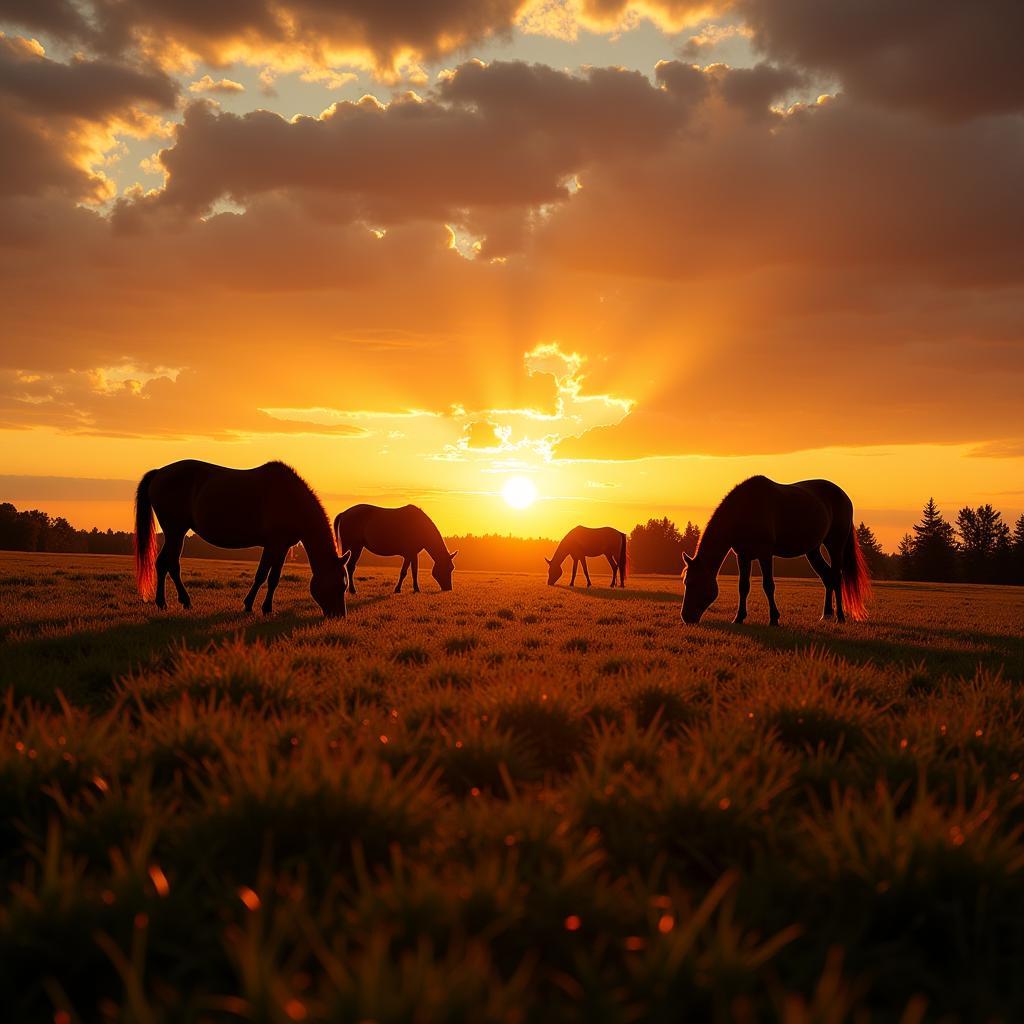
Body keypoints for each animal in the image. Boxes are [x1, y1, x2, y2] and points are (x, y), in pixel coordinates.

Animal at [134, 462, 350, 614]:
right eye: (340, 584)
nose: (339, 615)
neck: (291, 499)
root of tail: (159, 472)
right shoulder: (273, 545)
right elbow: (262, 575)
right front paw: (250, 605)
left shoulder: (282, 546)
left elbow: (274, 578)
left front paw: (266, 608)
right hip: (175, 531)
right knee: (167, 564)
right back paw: (173, 602)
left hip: (176, 533)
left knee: (166, 564)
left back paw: (172, 602)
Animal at [684, 477, 868, 622]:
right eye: (686, 582)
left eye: (692, 582)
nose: (686, 617)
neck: (745, 509)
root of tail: (844, 496)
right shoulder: (743, 556)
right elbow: (743, 586)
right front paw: (739, 618)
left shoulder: (765, 554)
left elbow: (768, 585)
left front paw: (774, 618)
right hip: (813, 550)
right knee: (827, 577)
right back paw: (826, 614)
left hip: (835, 545)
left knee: (836, 577)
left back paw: (840, 617)